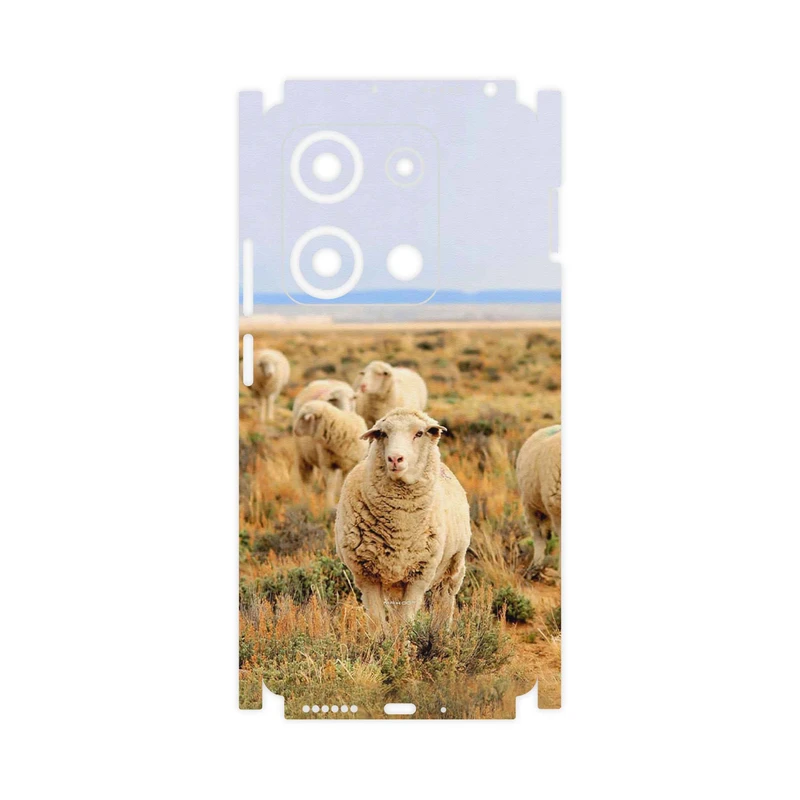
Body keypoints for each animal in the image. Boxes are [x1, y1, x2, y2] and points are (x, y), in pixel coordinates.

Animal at [335, 408, 471, 635]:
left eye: (419, 433)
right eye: (383, 434)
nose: (395, 458)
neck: (400, 528)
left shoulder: (419, 575)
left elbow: (405, 622)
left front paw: (403, 642)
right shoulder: (366, 575)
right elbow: (377, 622)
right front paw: (382, 642)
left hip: (453, 566)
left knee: (444, 600)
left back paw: (440, 633)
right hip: (394, 582)